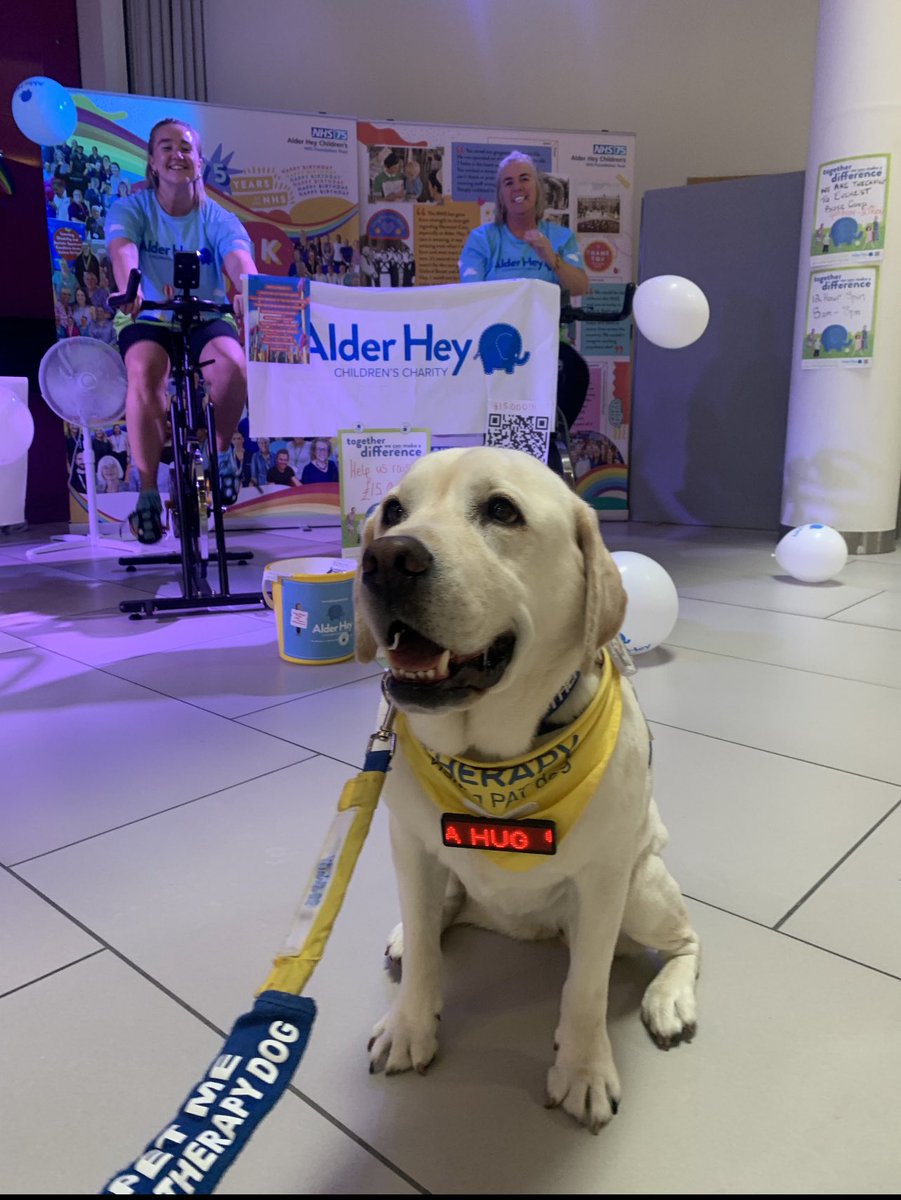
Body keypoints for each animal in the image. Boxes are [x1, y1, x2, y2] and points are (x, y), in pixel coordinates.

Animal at [355, 446, 700, 1128]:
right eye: (394, 510)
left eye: (501, 510)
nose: (385, 559)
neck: (493, 762)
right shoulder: (410, 846)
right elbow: (427, 960)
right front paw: (410, 1025)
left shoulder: (603, 882)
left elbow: (586, 987)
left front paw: (584, 1069)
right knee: (436, 916)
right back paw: (412, 932)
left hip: (641, 888)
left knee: (688, 938)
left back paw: (670, 998)